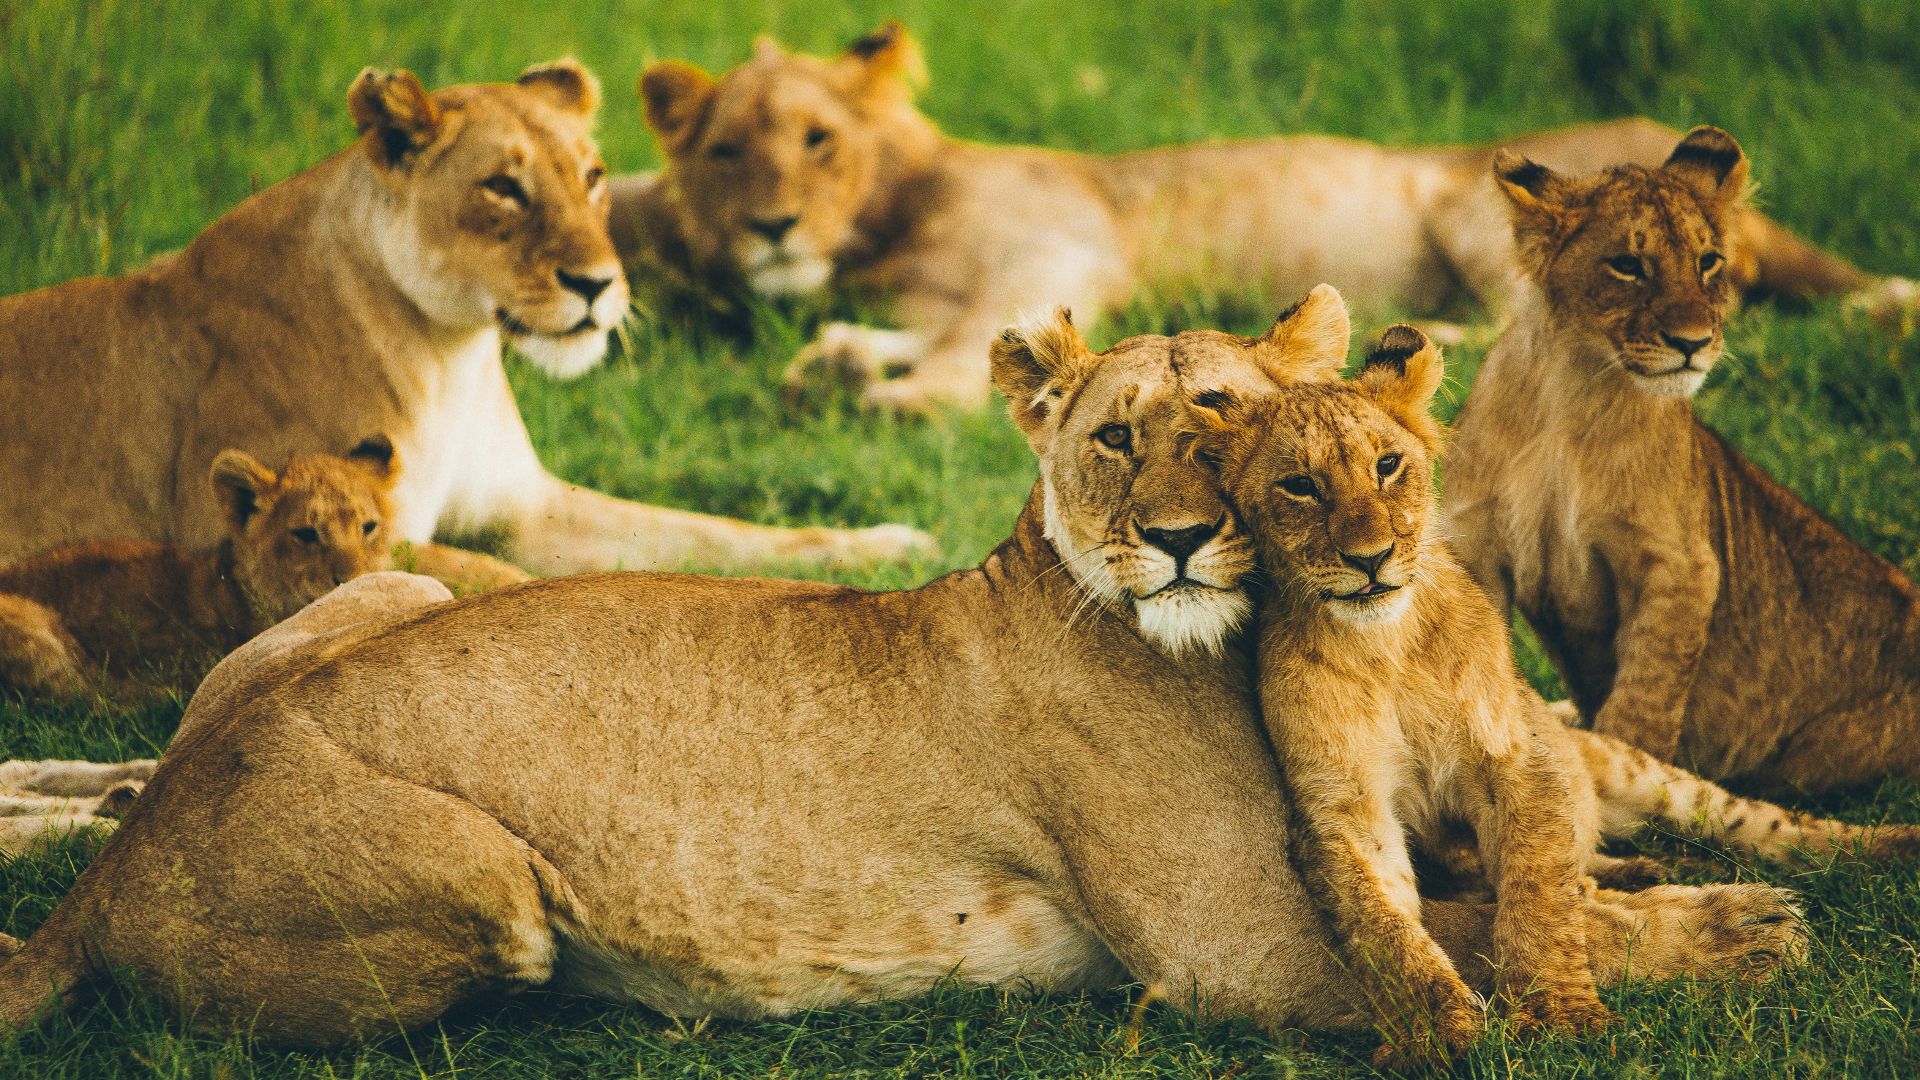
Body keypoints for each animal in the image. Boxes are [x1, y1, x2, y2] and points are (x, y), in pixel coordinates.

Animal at [0, 61, 932, 577]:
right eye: (503, 187)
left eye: (592, 176)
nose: (598, 284)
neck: (451, 355)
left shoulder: (529, 507)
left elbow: (716, 533)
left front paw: (887, 545)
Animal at [0, 294, 1803, 1047]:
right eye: (1117, 439)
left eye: (1226, 423)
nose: (1176, 540)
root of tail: (119, 867)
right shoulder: (1237, 958)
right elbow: (1473, 938)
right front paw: (1742, 930)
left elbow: (1528, 876)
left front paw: (1660, 879)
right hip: (492, 887)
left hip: (371, 588)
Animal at [613, 21, 1918, 414]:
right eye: (726, 151)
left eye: (817, 141)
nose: (772, 228)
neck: (884, 226)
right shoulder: (949, 291)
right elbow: (927, 334)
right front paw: (837, 360)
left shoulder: (1056, 248)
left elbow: (962, 355)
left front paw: (884, 396)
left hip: (1471, 204)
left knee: (1529, 327)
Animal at [1196, 313, 1913, 1068]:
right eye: (1299, 486)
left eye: (1387, 466)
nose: (1371, 559)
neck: (1383, 645)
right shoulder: (1341, 811)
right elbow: (1385, 932)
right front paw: (1437, 1035)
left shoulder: (1516, 755)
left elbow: (1537, 892)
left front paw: (1559, 1014)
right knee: (1595, 869)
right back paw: (1645, 872)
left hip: (1636, 769)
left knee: (1771, 826)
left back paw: (1887, 848)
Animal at [1444, 126, 1920, 795]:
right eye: (1627, 265)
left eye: (1708, 262)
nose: (1693, 343)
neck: (1569, 393)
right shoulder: (1475, 545)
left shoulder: (1680, 563)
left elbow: (1644, 699)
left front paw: (1627, 783)